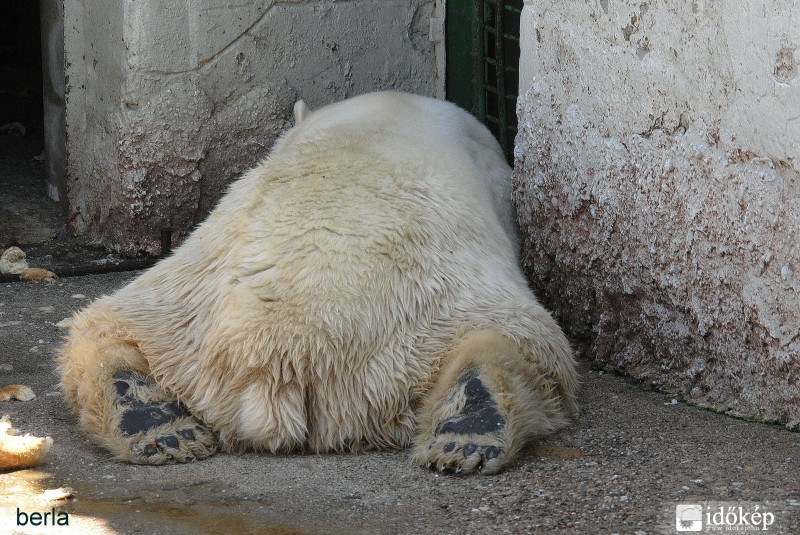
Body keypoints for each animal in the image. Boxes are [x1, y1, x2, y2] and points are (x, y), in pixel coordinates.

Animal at [61, 91, 576, 474]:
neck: (383, 116)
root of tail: (285, 351)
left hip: (185, 306)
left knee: (110, 326)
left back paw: (153, 420)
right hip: (431, 320)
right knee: (524, 342)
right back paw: (471, 428)